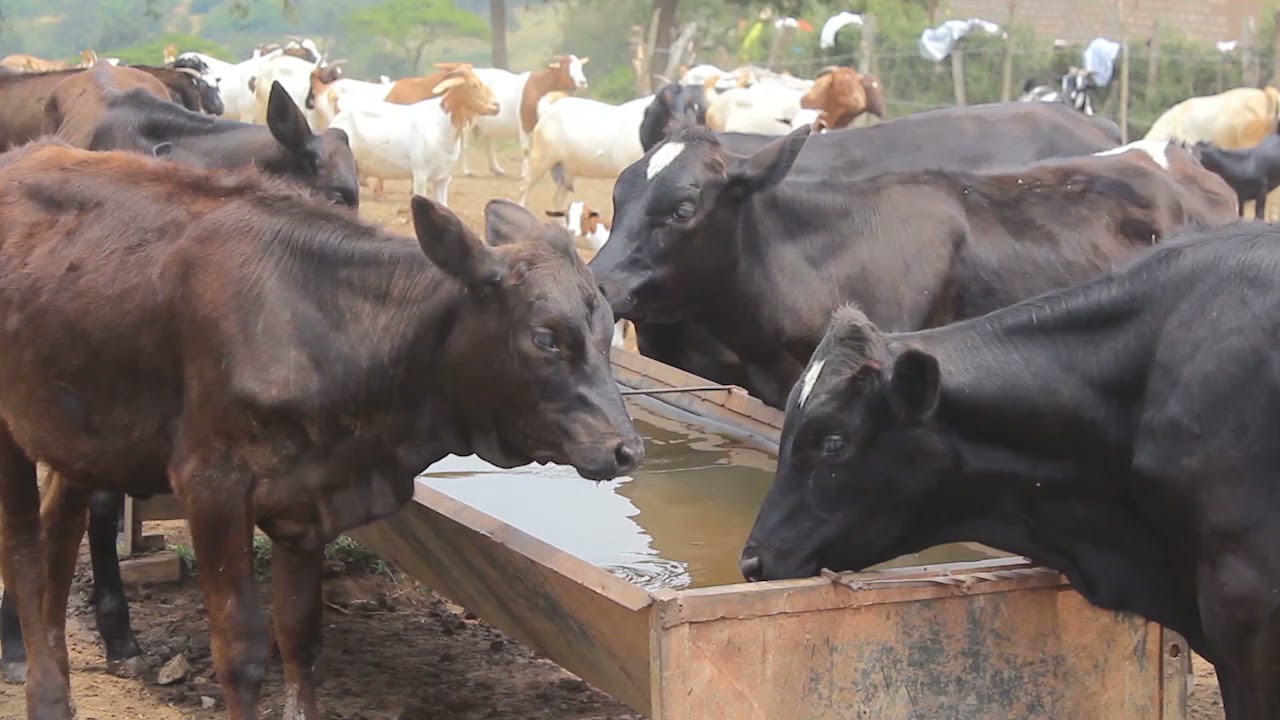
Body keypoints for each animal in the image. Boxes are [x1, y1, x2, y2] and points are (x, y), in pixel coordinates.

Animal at [0, 139, 643, 720]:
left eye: (608, 329)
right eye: (544, 337)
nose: (626, 449)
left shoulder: (306, 501)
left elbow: (300, 637)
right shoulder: (212, 488)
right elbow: (242, 651)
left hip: (76, 430)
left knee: (60, 531)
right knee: (25, 550)